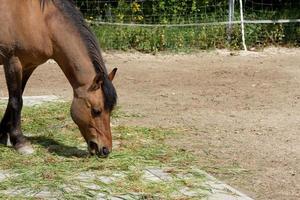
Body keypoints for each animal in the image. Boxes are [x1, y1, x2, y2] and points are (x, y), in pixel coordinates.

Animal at [0, 0, 117, 158]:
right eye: (96, 110)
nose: (105, 150)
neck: (42, 22)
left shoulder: (28, 66)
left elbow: (16, 98)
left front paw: (2, 135)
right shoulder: (12, 61)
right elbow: (16, 101)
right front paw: (20, 141)